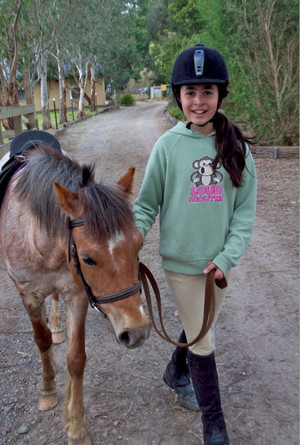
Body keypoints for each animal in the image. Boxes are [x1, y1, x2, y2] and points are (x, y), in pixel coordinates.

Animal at [0, 145, 150, 440]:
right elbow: (42, 340)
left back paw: (59, 327)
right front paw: (47, 390)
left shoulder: (77, 296)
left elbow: (76, 359)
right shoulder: (29, 297)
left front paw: (77, 426)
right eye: (88, 259)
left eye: (139, 244)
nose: (137, 331)